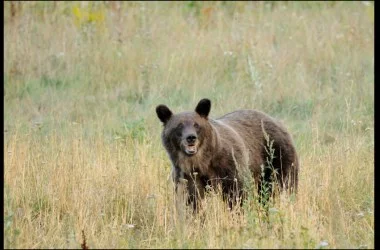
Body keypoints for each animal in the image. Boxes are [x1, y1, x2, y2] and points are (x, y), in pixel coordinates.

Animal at [156, 97, 298, 211]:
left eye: (196, 125)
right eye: (179, 126)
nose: (191, 137)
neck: (202, 161)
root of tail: (277, 121)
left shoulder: (230, 165)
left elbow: (237, 194)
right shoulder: (186, 174)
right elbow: (192, 200)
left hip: (277, 156)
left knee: (285, 184)